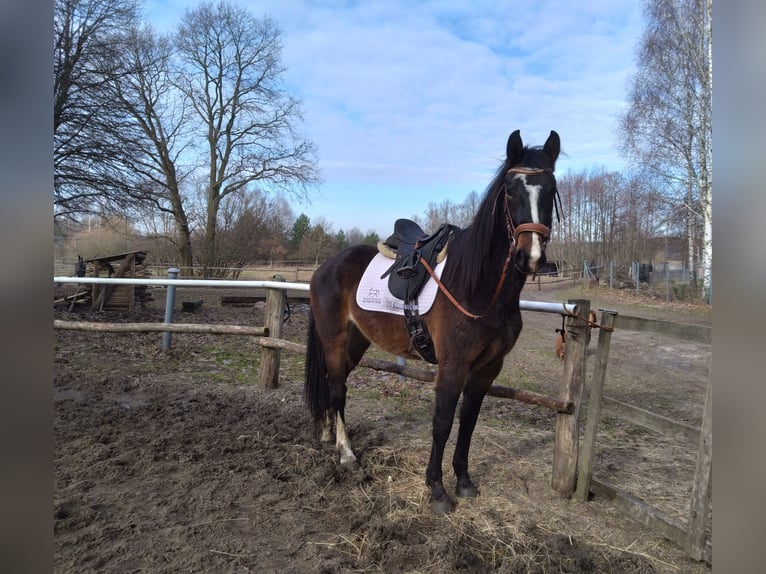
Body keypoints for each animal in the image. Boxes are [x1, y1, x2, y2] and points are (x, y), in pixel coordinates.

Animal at [306, 129, 564, 512]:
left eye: (551, 189)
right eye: (509, 190)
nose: (528, 257)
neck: (478, 288)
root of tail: (326, 266)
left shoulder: (488, 368)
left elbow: (468, 422)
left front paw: (464, 481)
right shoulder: (453, 365)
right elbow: (442, 423)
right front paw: (437, 489)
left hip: (355, 342)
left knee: (331, 385)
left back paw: (329, 438)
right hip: (334, 340)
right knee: (337, 390)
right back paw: (348, 455)